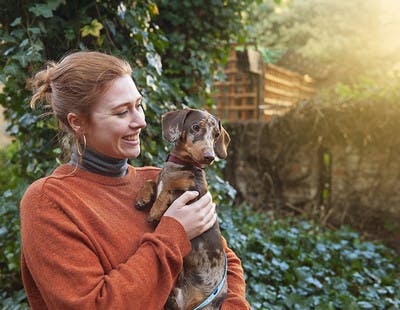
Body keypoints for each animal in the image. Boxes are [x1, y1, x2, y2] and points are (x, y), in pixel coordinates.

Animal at [136, 108, 231, 308]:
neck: (180, 166)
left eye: (216, 135)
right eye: (195, 127)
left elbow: (170, 190)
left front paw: (155, 211)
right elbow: (151, 181)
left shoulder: (193, 195)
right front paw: (142, 197)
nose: (210, 157)